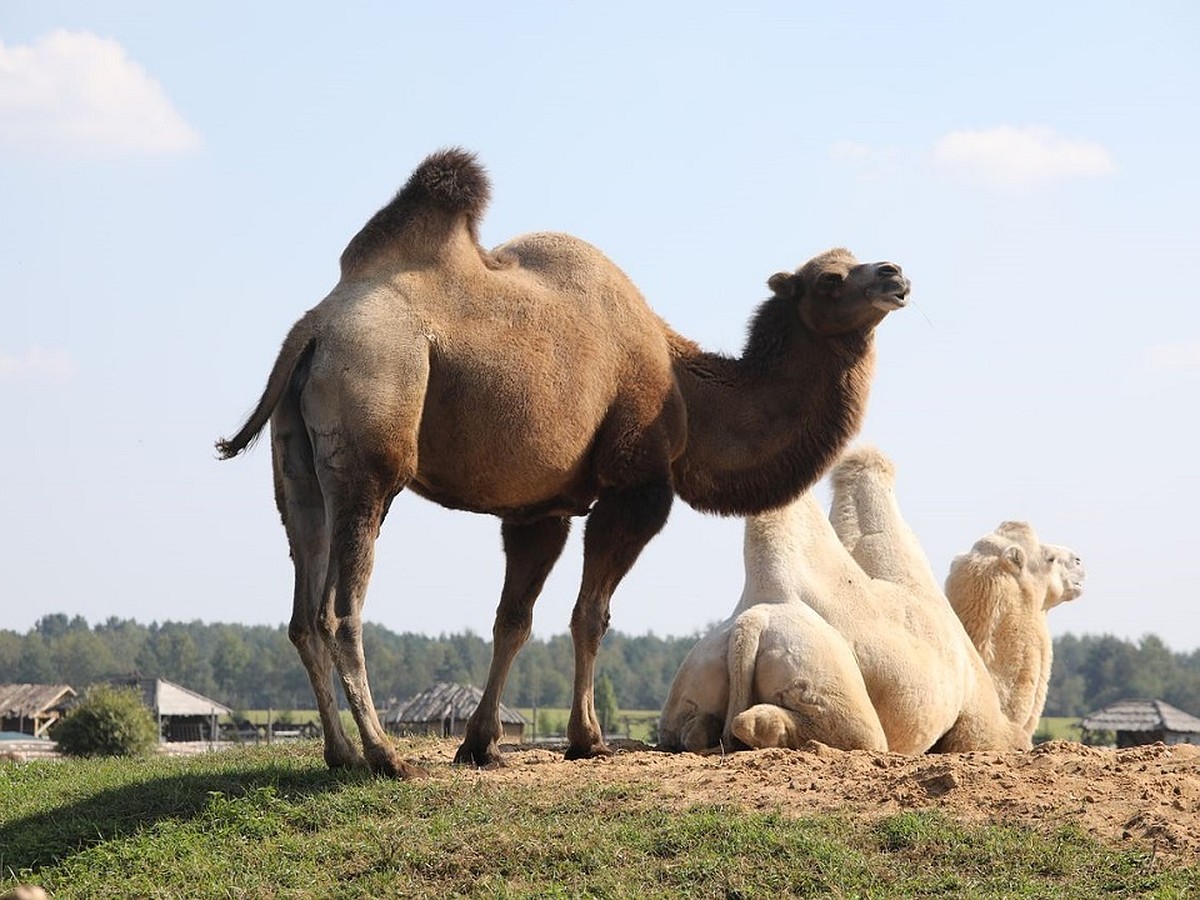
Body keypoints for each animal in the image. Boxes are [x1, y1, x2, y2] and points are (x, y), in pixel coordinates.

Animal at [216, 148, 907, 777]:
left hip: (295, 468)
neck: (683, 388)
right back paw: (386, 755)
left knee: (302, 609)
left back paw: (338, 754)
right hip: (372, 437)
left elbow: (512, 621)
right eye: (829, 278)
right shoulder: (635, 488)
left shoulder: (538, 509)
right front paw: (588, 739)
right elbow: (590, 616)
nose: (895, 273)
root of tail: (314, 330)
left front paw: (481, 744)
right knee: (339, 610)